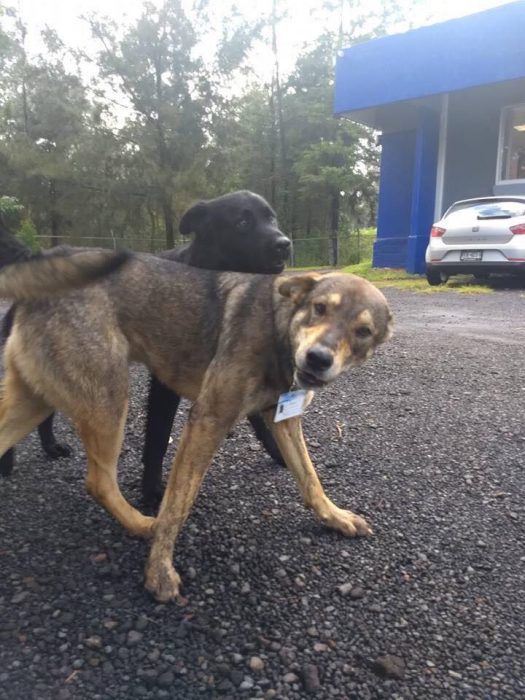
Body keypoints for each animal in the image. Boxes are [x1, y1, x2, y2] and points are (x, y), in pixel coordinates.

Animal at [0, 252, 392, 600]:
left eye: (363, 331)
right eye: (320, 308)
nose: (318, 358)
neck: (277, 326)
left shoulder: (283, 419)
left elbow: (310, 478)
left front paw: (334, 517)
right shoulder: (208, 419)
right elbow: (177, 504)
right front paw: (159, 569)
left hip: (35, 402)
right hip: (107, 402)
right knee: (99, 483)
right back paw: (141, 524)